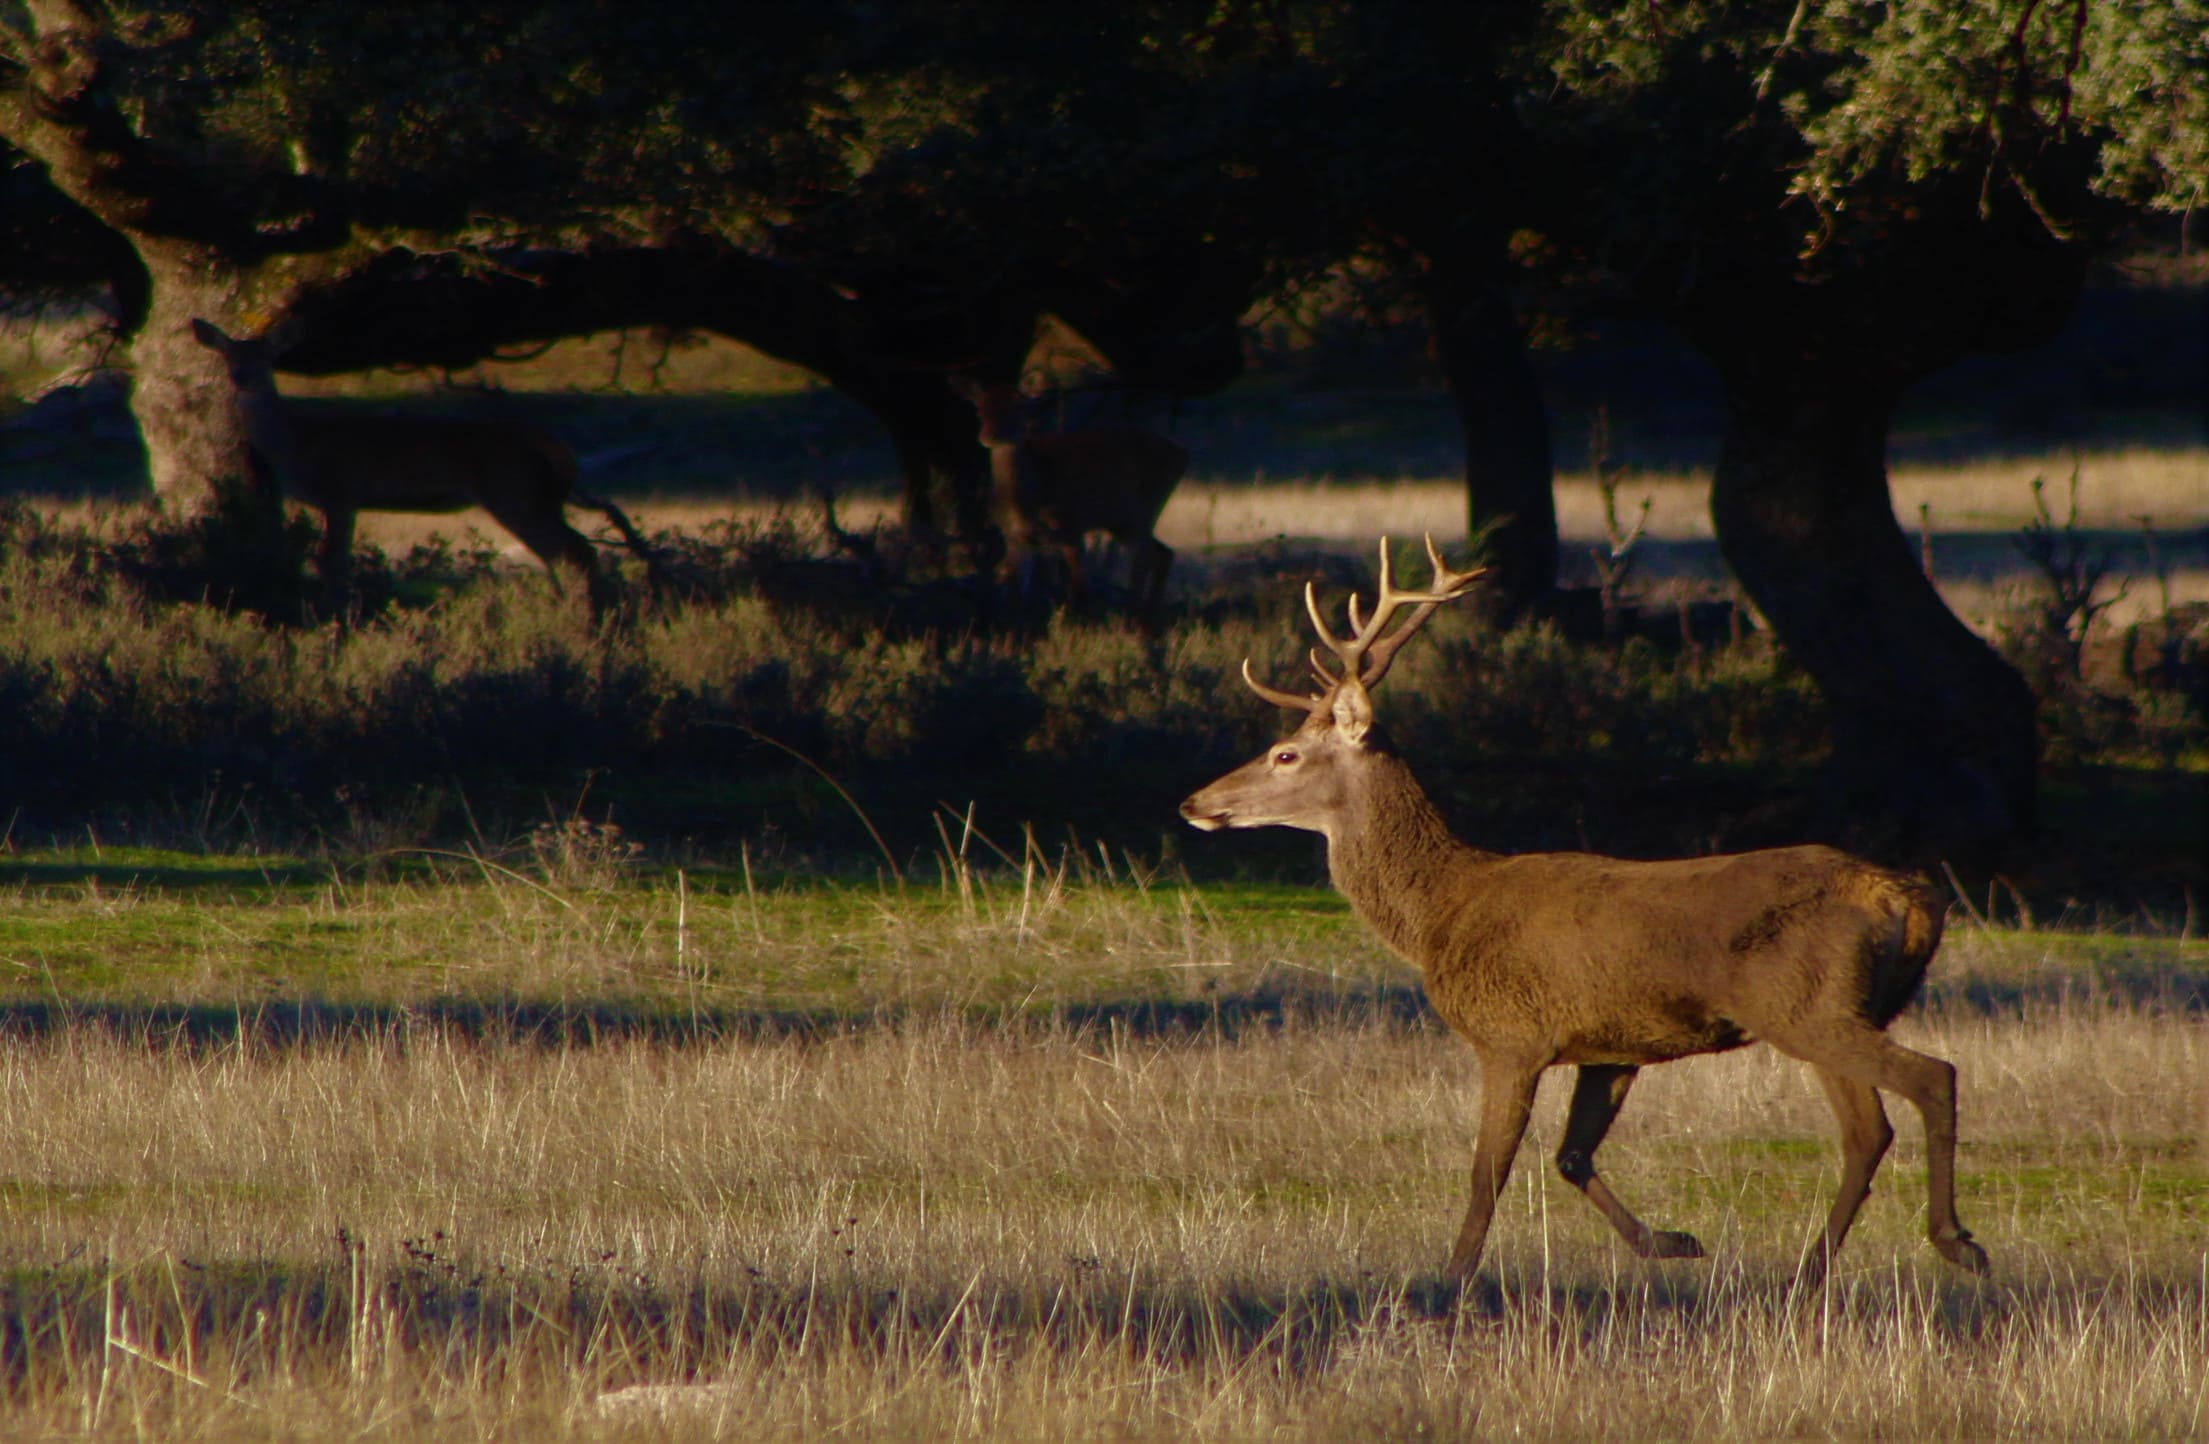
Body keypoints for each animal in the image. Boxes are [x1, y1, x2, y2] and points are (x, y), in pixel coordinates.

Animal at [190, 318, 637, 617]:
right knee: (574, 551)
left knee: (572, 552)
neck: (296, 442)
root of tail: (559, 448)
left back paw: (584, 620)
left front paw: (335, 621)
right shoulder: (344, 499)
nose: (242, 377)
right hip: (541, 497)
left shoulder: (341, 490)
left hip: (513, 490)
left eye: (268, 357)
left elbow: (333, 564)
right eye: (227, 354)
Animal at [951, 377, 1186, 629]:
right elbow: (1015, 594)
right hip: (1121, 524)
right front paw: (1012, 632)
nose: (988, 436)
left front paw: (1076, 629)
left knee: (1141, 563)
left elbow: (1079, 588)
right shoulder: (1014, 538)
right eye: (979, 409)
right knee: (1162, 553)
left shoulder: (1070, 527)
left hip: (1144, 512)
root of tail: (1183, 455)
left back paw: (1137, 624)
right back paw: (1150, 620)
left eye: (1017, 407)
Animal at [1180, 536, 1989, 1291]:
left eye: (1285, 754)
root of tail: (1908, 899)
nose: (1194, 801)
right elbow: (1572, 1155)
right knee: (1865, 1131)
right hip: (1825, 1009)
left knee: (1931, 1078)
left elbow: (1487, 1172)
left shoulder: (1510, 1034)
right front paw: (1674, 1243)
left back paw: (1954, 1242)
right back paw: (1809, 1269)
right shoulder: (1611, 1044)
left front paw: (1451, 1279)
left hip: (1807, 1004)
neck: (1439, 915)